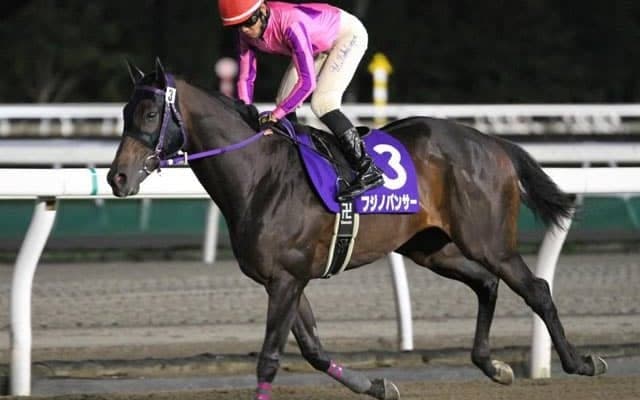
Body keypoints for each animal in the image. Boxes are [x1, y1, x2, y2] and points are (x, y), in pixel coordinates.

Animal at [108, 60, 607, 400]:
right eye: (125, 112)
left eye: (150, 114)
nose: (117, 178)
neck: (259, 175)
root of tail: (491, 141)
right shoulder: (284, 279)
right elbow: (313, 349)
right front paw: (379, 385)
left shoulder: (287, 279)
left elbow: (270, 359)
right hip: (430, 247)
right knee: (486, 283)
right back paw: (493, 366)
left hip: (488, 240)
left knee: (536, 288)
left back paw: (580, 362)